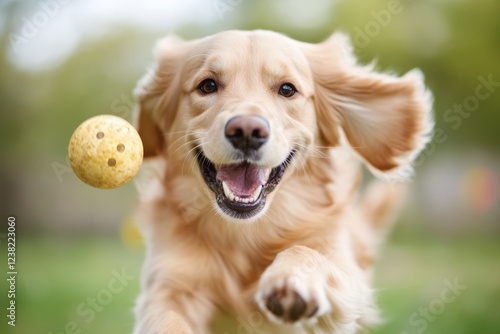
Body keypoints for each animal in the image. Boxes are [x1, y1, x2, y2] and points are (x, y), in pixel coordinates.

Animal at [132, 30, 434, 332]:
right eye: (207, 85)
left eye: (287, 89)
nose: (247, 131)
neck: (246, 233)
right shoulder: (169, 283)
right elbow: (168, 319)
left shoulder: (343, 268)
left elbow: (306, 251)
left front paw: (291, 281)